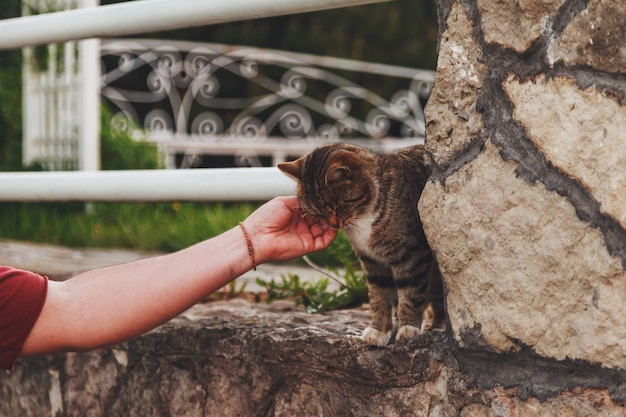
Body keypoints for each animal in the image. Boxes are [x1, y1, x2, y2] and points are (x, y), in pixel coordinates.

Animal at [278, 142, 444, 344]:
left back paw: (436, 326)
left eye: (337, 207)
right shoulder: (372, 261)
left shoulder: (413, 254)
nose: (334, 225)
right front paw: (380, 330)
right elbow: (379, 295)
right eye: (317, 214)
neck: (363, 217)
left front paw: (408, 328)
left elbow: (410, 292)